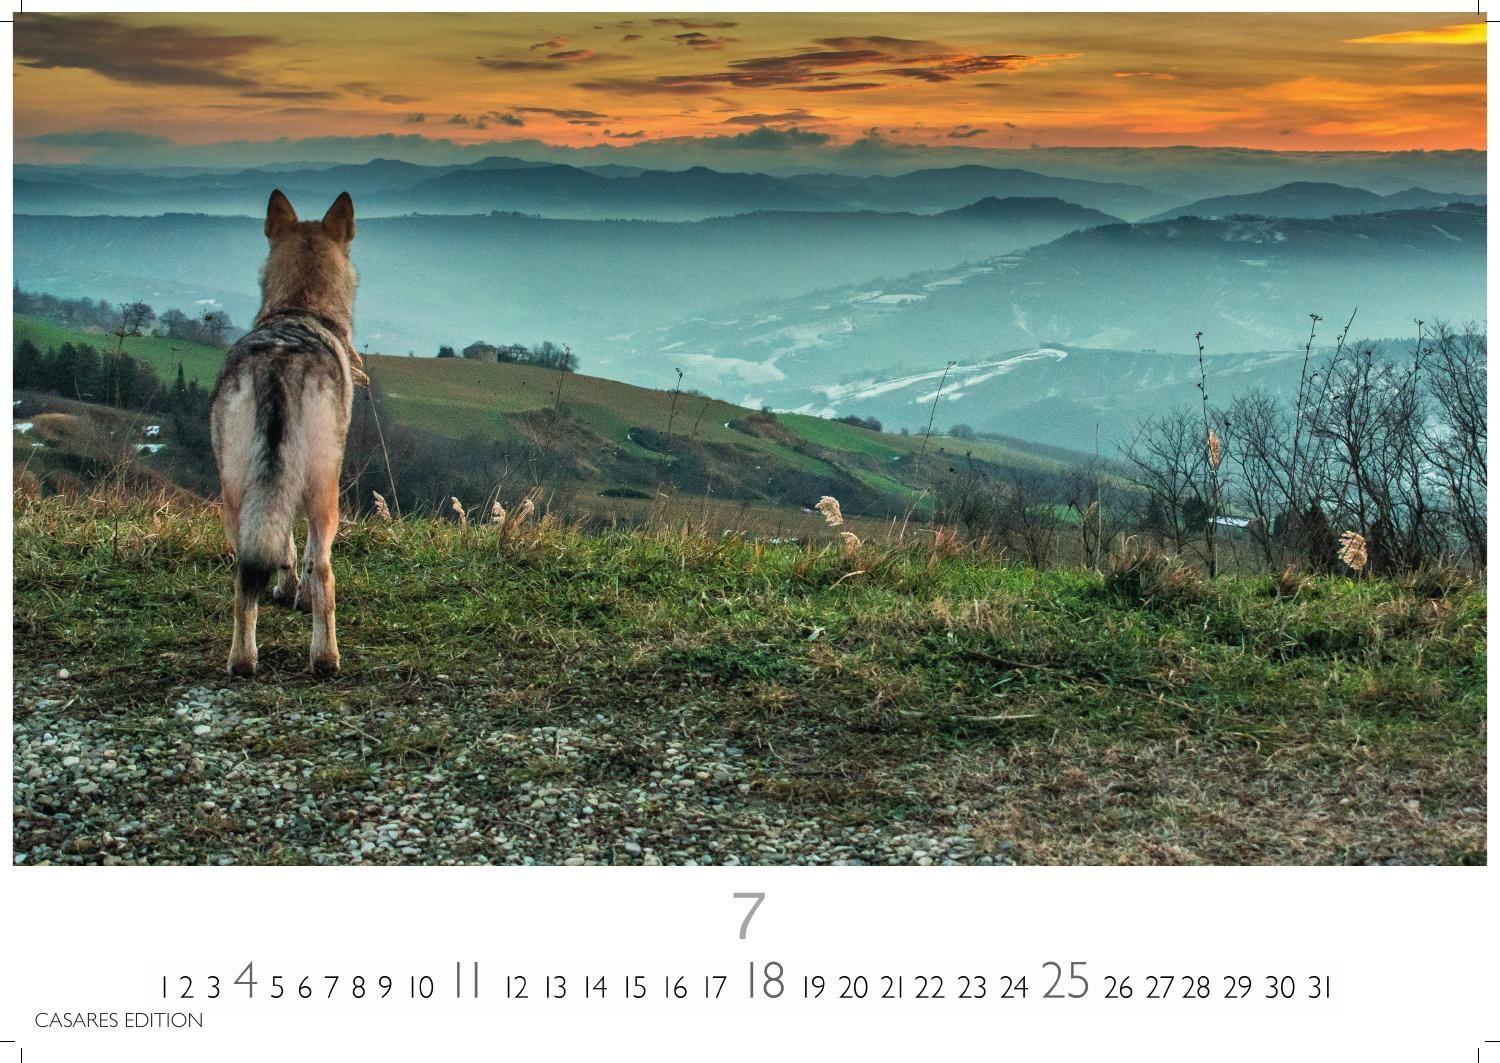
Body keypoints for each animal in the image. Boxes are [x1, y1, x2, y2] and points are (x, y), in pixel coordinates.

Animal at [210, 189, 362, 676]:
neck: (300, 308)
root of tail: (278, 364)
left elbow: (284, 546)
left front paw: (284, 588)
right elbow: (311, 559)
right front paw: (299, 596)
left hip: (234, 491)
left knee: (244, 578)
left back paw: (242, 661)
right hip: (324, 490)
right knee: (327, 575)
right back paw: (326, 658)